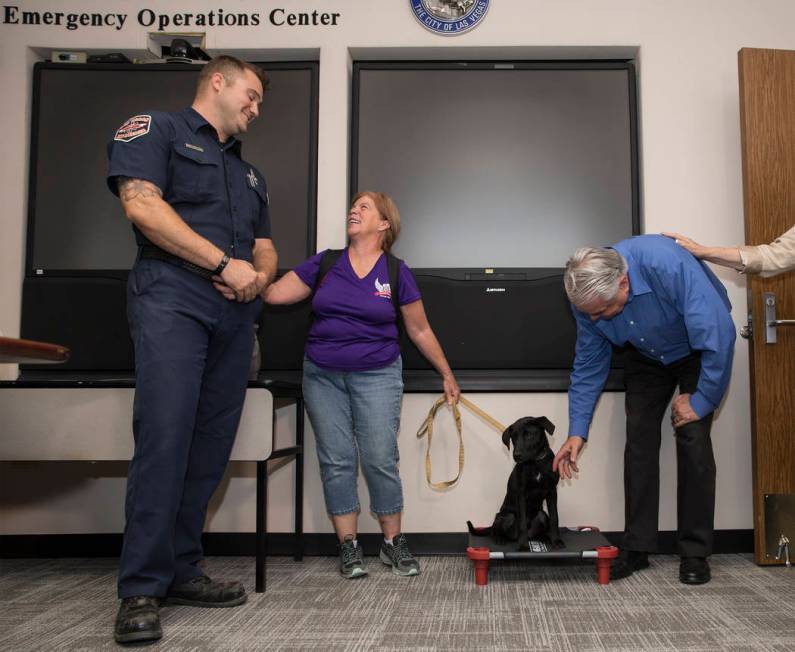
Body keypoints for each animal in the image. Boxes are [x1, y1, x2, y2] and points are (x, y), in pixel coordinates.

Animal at [470, 418, 564, 552]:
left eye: (528, 435)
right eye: (513, 437)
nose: (516, 455)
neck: (535, 462)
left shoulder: (552, 491)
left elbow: (555, 519)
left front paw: (556, 541)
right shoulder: (522, 495)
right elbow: (522, 524)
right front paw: (523, 546)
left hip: (542, 515)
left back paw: (544, 537)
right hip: (506, 516)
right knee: (495, 529)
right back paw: (499, 538)